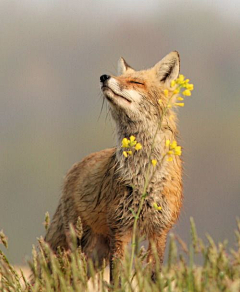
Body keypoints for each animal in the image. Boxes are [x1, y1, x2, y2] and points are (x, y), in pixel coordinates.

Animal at [45, 51, 183, 282]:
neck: (144, 176)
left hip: (95, 256)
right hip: (80, 249)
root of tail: (73, 169)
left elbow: (154, 277)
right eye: (121, 77)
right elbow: (117, 280)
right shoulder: (121, 228)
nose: (104, 77)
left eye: (136, 82)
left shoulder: (159, 231)